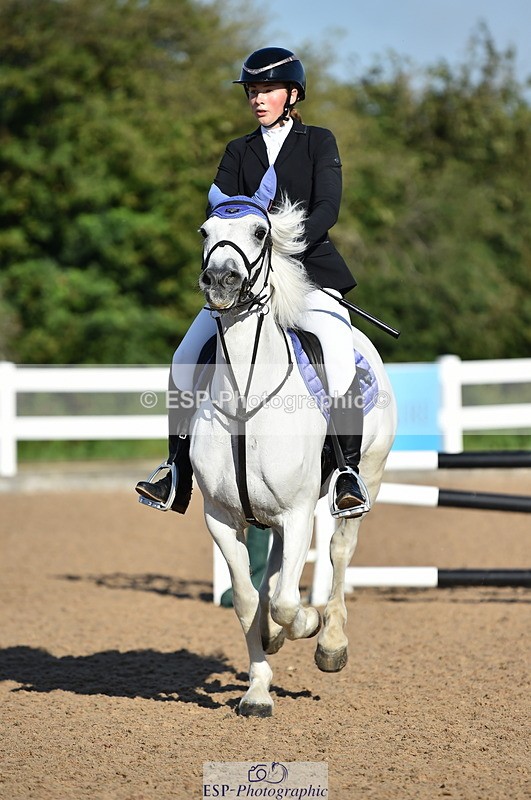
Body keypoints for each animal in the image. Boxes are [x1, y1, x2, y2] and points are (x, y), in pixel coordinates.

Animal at [189, 167, 397, 716]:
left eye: (260, 232)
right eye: (204, 232)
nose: (220, 281)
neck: (247, 397)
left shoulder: (300, 512)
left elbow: (287, 601)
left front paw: (305, 624)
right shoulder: (222, 517)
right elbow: (246, 599)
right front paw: (258, 689)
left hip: (365, 477)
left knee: (340, 552)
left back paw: (331, 644)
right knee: (272, 576)